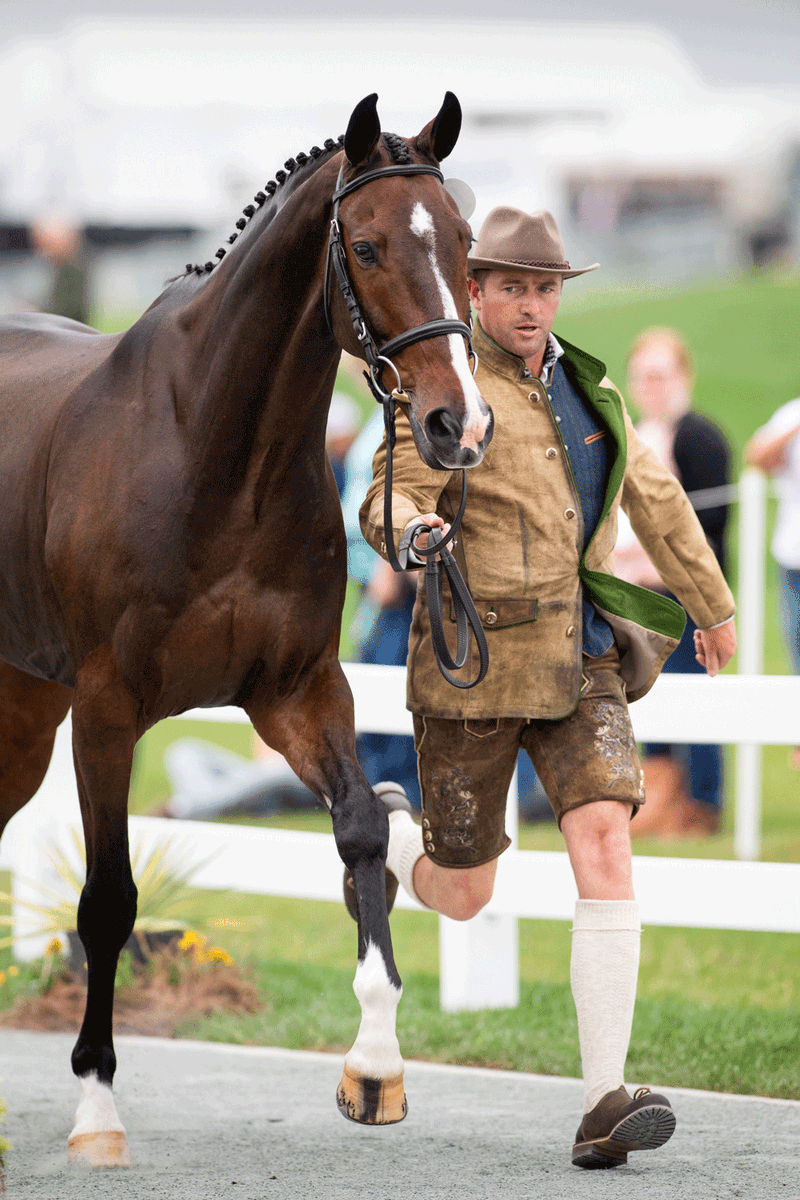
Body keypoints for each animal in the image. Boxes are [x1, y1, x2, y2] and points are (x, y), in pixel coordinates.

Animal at [0, 92, 493, 1166]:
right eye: (368, 244)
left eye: (467, 242)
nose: (459, 425)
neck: (212, 449)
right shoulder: (107, 711)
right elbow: (108, 902)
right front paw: (96, 1110)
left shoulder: (297, 689)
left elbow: (363, 835)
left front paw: (376, 1068)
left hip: (22, 714)